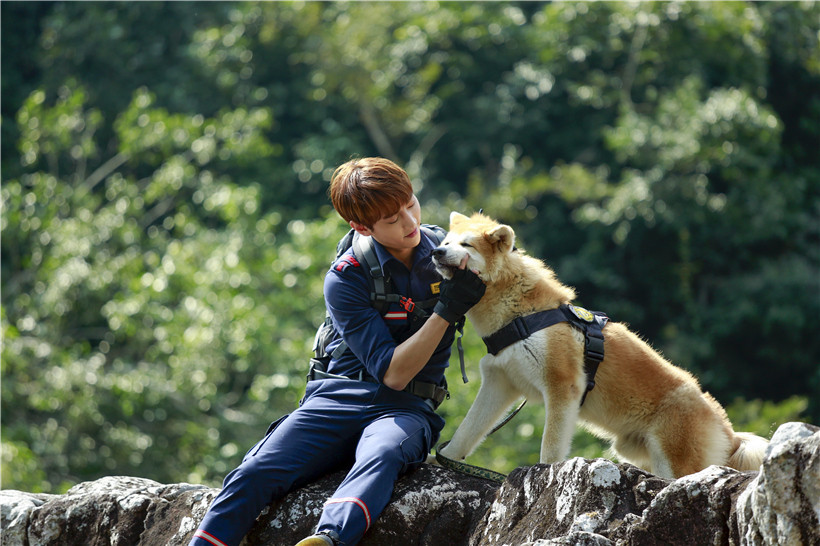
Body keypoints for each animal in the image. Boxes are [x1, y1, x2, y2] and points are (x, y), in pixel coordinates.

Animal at [432, 210, 772, 474]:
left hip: (673, 460)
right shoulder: (500, 382)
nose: (436, 253)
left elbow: (550, 449)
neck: (519, 313)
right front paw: (443, 460)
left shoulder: (563, 387)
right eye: (445, 242)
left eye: (465, 244)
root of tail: (730, 433)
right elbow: (466, 433)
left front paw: (542, 472)